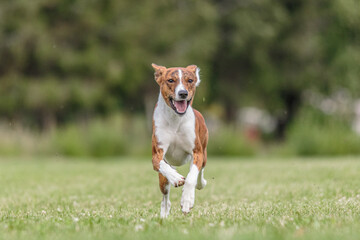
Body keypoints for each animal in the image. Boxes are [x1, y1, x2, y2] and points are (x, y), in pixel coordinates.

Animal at [151, 63, 208, 218]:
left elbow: (192, 176)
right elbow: (161, 165)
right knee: (165, 195)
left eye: (190, 80)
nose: (183, 93)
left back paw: (200, 184)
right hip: (162, 180)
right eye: (170, 80)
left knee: (200, 172)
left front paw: (187, 200)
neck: (175, 120)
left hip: (204, 151)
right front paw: (176, 178)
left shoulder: (197, 151)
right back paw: (164, 214)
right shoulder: (157, 153)